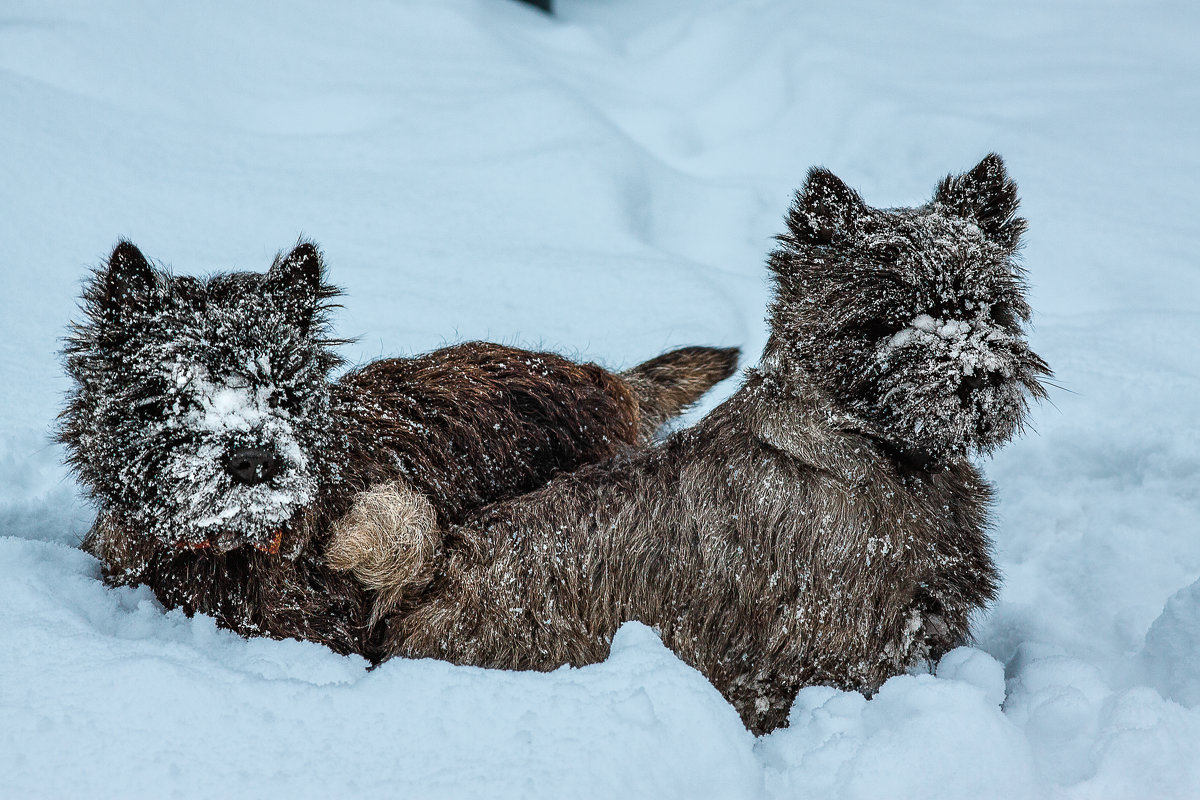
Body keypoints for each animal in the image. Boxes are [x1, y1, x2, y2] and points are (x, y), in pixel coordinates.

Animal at [331, 153, 1051, 734]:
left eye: (988, 306)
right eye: (887, 318)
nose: (976, 372)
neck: (862, 449)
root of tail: (430, 569)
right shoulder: (837, 648)